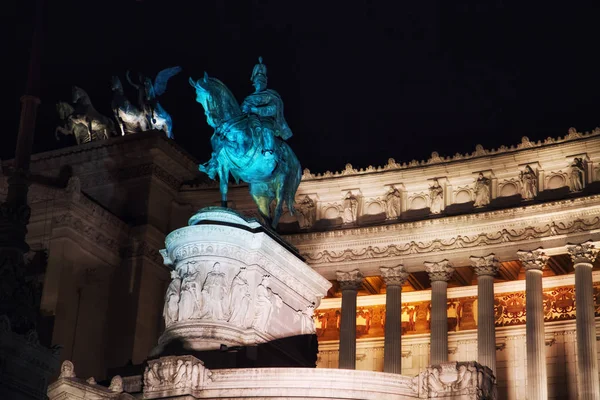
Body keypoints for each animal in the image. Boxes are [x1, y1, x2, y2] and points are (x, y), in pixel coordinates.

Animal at [189, 72, 300, 228]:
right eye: (198, 99)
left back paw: (273, 228)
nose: (213, 121)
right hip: (259, 190)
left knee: (278, 208)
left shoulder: (242, 151)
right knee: (265, 213)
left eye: (209, 96)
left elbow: (224, 144)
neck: (233, 125)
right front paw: (223, 209)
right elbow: (223, 186)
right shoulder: (224, 164)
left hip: (282, 181)